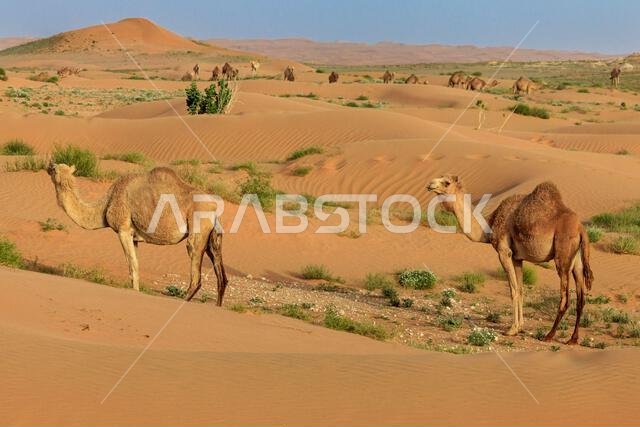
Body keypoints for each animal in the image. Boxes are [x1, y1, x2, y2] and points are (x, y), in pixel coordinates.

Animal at [47, 163, 229, 305]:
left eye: (55, 169)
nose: (49, 165)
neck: (105, 205)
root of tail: (215, 208)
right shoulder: (134, 237)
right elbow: (135, 265)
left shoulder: (123, 229)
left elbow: (132, 265)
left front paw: (134, 293)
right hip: (213, 236)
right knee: (221, 274)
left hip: (198, 224)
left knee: (195, 264)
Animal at [427, 175, 593, 344]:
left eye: (446, 182)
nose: (430, 184)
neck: (489, 225)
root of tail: (582, 229)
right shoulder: (517, 258)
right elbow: (520, 289)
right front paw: (520, 327)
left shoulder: (504, 252)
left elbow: (513, 290)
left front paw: (512, 329)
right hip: (577, 260)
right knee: (581, 298)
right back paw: (573, 339)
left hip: (563, 256)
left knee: (565, 298)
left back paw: (549, 335)